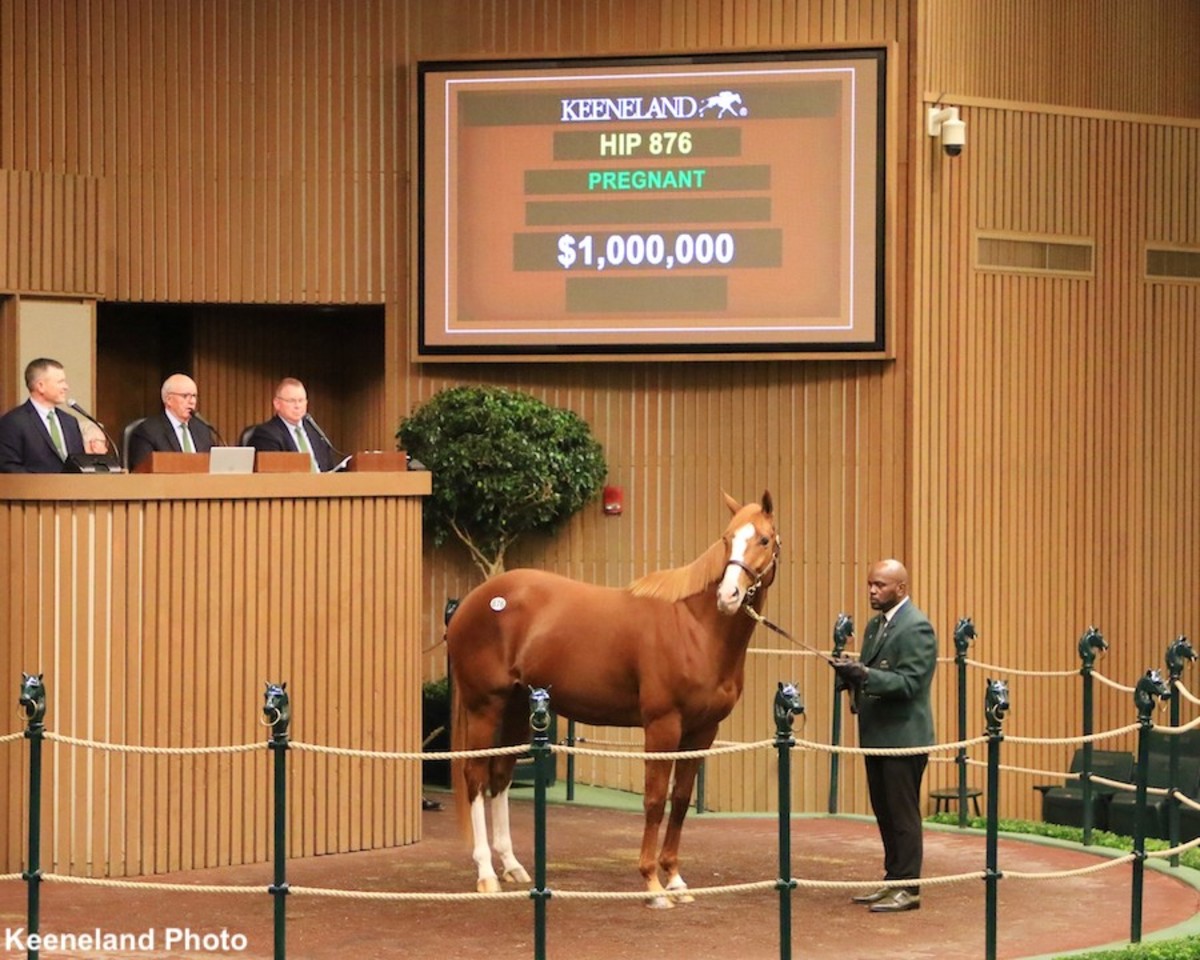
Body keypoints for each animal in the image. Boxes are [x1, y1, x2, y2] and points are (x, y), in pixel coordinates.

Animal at [448, 492, 777, 902]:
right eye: (726, 539)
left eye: (764, 539)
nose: (728, 595)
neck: (695, 627)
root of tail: (470, 603)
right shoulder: (663, 726)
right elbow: (655, 799)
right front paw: (653, 883)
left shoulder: (703, 731)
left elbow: (681, 800)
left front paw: (676, 880)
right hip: (485, 707)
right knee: (476, 777)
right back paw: (486, 873)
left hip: (515, 708)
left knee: (500, 776)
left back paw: (511, 866)